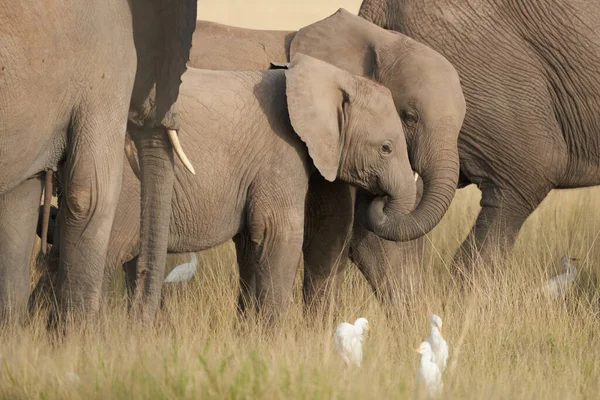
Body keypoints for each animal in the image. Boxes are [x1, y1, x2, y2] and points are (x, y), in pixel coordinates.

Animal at [35, 54, 414, 322]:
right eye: (386, 148)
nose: (377, 200)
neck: (327, 75)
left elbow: (250, 245)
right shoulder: (281, 152)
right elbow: (279, 234)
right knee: (104, 256)